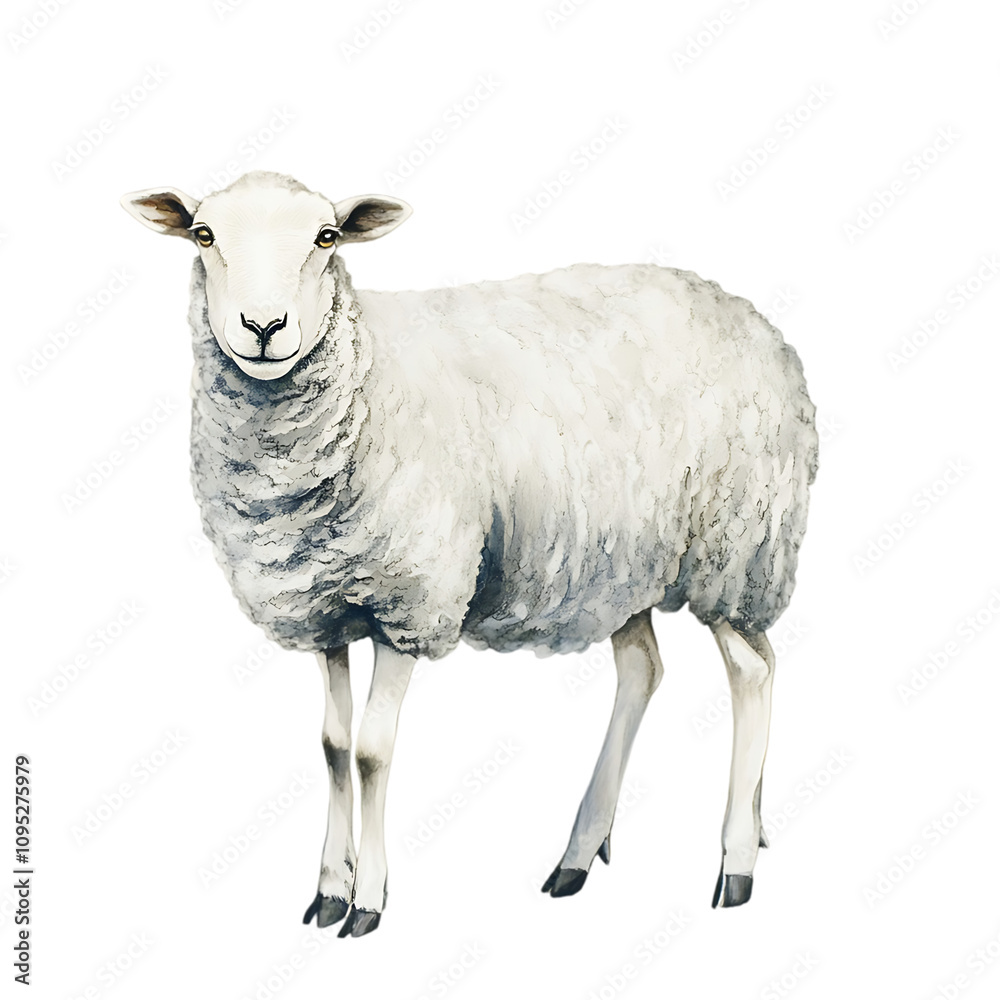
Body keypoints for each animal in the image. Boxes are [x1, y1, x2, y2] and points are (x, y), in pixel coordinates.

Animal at [121, 169, 818, 938]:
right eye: (203, 235)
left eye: (326, 238)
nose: (264, 329)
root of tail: (753, 319)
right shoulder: (321, 604)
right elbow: (332, 747)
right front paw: (329, 889)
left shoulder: (411, 595)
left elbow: (372, 752)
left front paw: (369, 901)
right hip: (620, 559)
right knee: (647, 668)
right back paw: (588, 852)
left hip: (737, 543)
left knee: (753, 671)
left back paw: (736, 864)